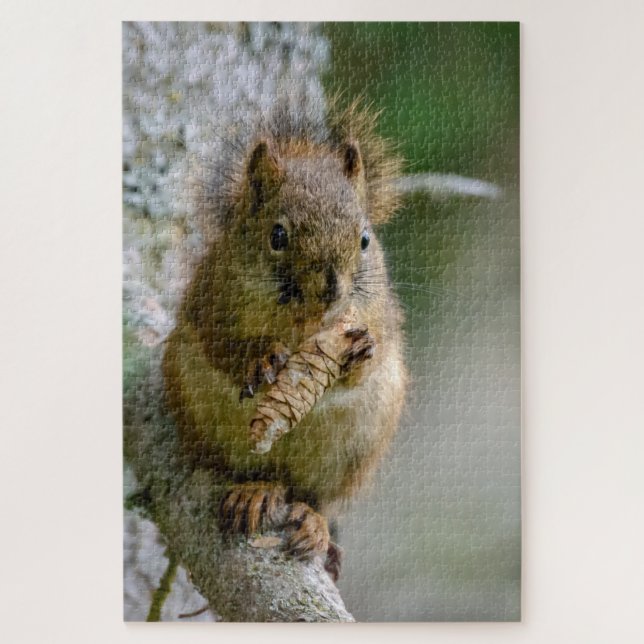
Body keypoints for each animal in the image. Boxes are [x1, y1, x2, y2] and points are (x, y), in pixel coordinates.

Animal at [162, 99, 407, 580]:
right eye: (277, 235)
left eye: (365, 239)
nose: (331, 289)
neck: (303, 325)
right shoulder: (209, 303)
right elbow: (221, 347)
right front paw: (260, 360)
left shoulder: (380, 316)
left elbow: (370, 356)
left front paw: (362, 351)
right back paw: (254, 491)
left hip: (358, 446)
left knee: (315, 497)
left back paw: (312, 522)